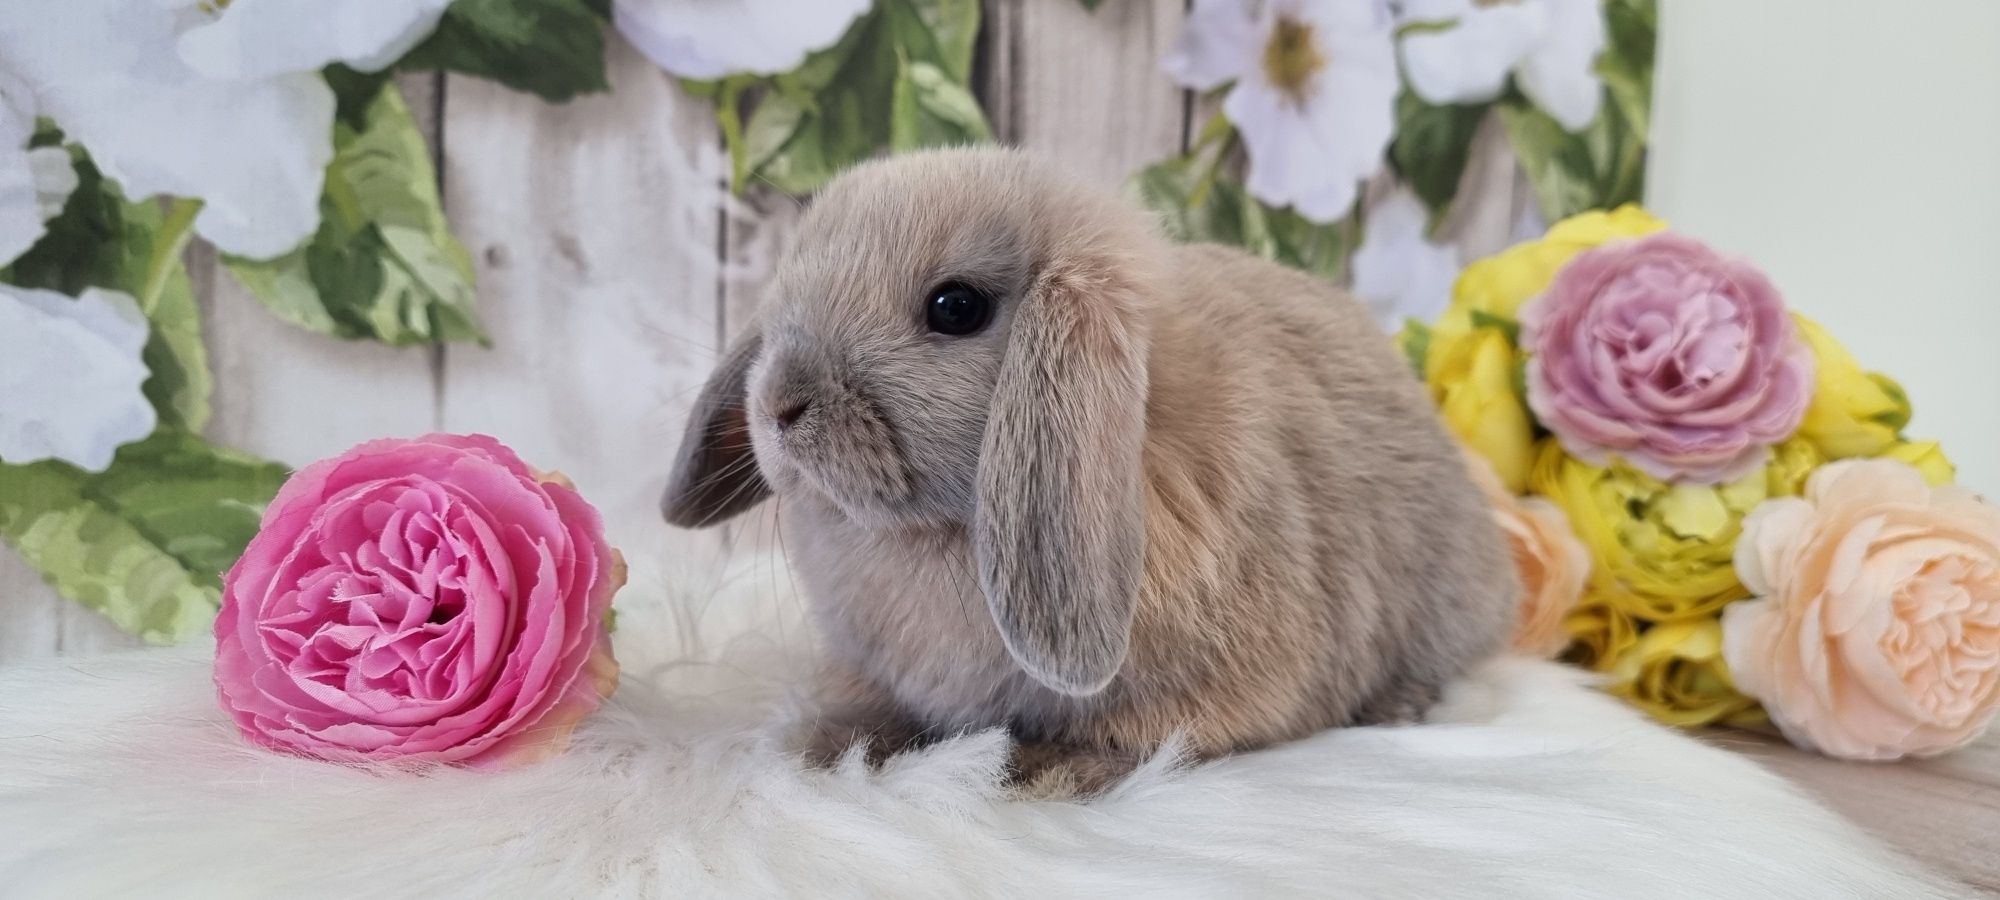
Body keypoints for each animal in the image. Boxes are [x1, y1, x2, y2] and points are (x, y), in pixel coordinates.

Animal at [660, 146, 1512, 796]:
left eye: (956, 306)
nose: (778, 402)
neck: (936, 535)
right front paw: (821, 745)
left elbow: (1127, 739)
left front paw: (1043, 769)